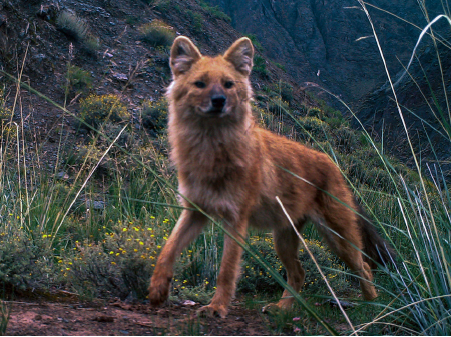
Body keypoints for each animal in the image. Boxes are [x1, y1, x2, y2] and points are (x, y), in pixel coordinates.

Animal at [149, 36, 396, 318]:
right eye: (200, 83)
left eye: (228, 84)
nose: (219, 100)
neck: (211, 151)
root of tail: (333, 165)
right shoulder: (194, 211)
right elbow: (167, 250)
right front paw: (157, 289)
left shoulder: (236, 219)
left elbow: (226, 271)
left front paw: (216, 307)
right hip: (284, 240)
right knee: (299, 273)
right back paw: (282, 308)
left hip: (337, 239)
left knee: (363, 266)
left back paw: (372, 307)